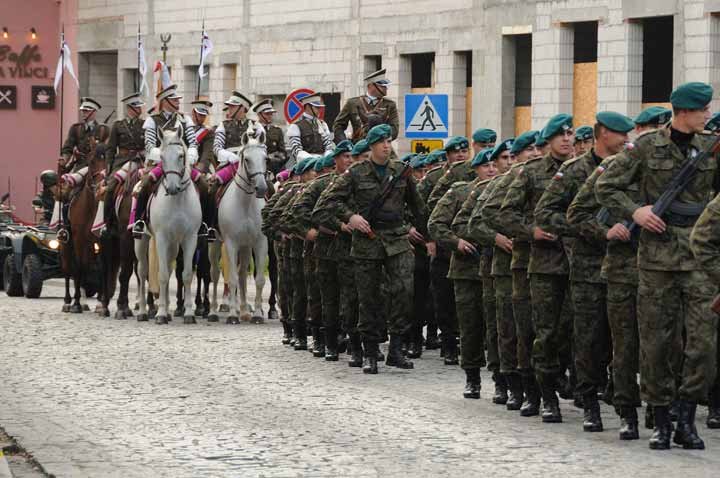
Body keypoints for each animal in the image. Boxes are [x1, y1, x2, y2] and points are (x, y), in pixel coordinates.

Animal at [57, 139, 105, 314]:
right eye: (92, 162)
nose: (101, 184)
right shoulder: (78, 239)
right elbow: (78, 267)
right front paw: (76, 302)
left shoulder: (98, 241)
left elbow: (98, 268)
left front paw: (98, 302)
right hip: (66, 244)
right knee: (68, 268)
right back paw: (67, 301)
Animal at [138, 125, 202, 324]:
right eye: (162, 157)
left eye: (181, 156)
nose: (173, 188)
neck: (178, 200)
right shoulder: (161, 238)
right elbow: (163, 275)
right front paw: (160, 314)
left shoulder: (190, 238)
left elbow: (186, 275)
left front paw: (188, 313)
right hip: (141, 241)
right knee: (142, 272)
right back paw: (144, 311)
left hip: (173, 245)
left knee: (168, 265)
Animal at [218, 131, 268, 324]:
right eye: (246, 159)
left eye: (265, 158)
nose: (261, 188)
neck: (245, 203)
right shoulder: (231, 243)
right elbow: (231, 278)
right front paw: (232, 315)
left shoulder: (260, 242)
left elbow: (259, 279)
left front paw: (258, 314)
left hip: (246, 246)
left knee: (241, 275)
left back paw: (245, 310)